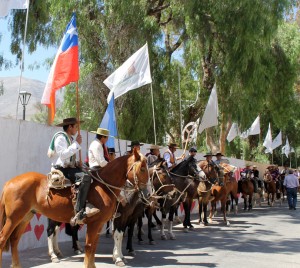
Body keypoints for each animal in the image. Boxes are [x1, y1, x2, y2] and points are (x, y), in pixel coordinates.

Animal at [0, 149, 149, 268]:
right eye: (142, 168)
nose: (147, 193)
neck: (104, 187)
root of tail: (9, 182)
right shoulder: (96, 223)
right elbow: (90, 246)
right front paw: (117, 258)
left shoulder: (101, 223)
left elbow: (94, 246)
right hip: (13, 218)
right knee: (3, 239)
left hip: (25, 217)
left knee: (14, 240)